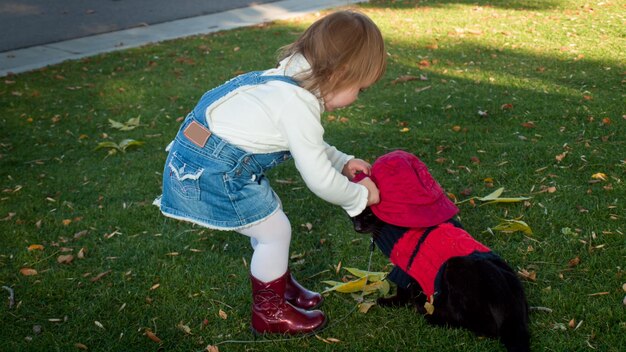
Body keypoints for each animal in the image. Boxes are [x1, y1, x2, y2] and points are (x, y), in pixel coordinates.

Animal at [352, 208, 528, 350]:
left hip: (455, 266)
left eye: (369, 214)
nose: (357, 227)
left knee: (478, 326)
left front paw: (391, 302)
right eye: (353, 214)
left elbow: (402, 291)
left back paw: (429, 314)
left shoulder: (404, 267)